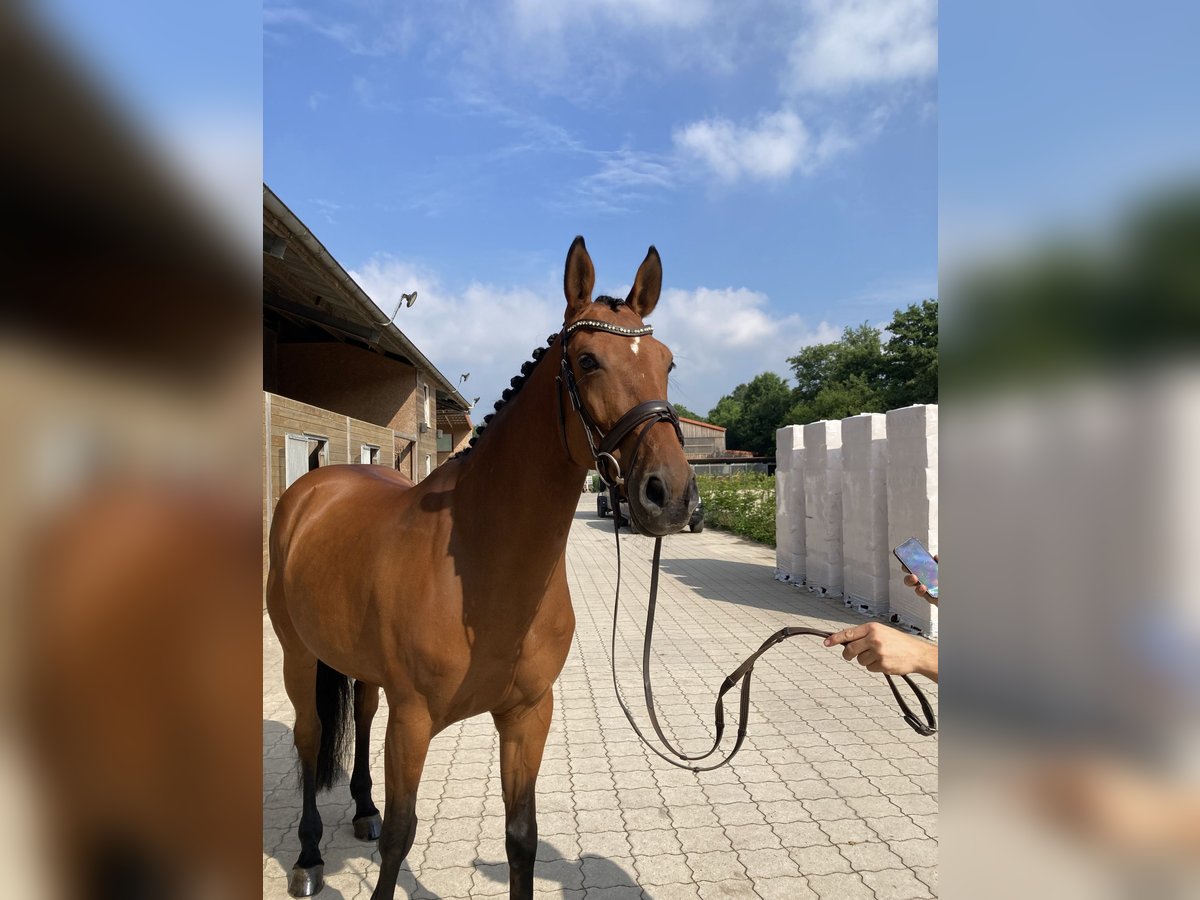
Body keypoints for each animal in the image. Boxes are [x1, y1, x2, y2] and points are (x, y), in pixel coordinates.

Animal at [262, 237, 696, 900]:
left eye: (667, 364)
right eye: (588, 360)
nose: (669, 494)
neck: (481, 563)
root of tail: (312, 488)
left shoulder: (526, 716)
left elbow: (521, 839)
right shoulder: (413, 721)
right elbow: (400, 839)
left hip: (362, 668)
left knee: (360, 714)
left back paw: (362, 809)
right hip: (298, 655)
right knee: (309, 737)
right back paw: (309, 859)